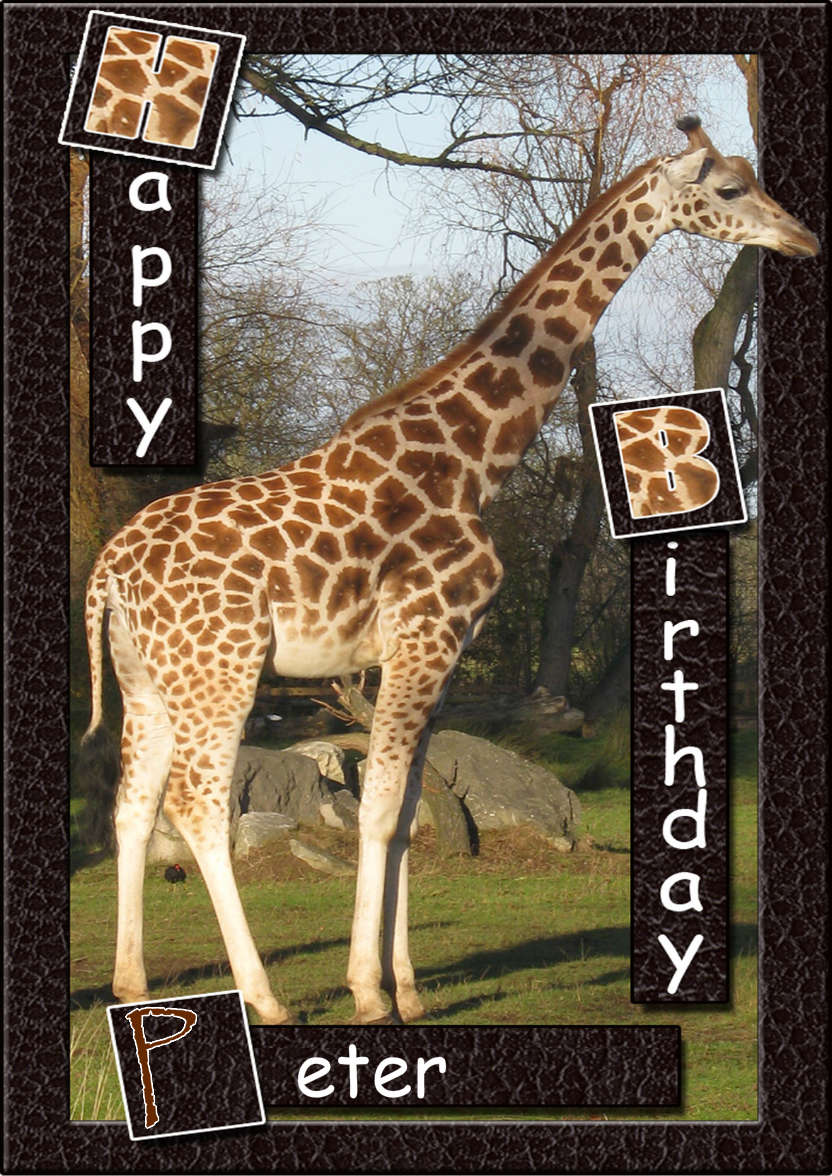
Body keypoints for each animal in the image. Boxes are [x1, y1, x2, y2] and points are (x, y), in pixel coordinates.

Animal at [81, 117, 818, 1025]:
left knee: (132, 804)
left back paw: (132, 986)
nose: (803, 238)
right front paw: (368, 993)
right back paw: (267, 999)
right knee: (199, 805)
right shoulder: (423, 637)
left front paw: (409, 991)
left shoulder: (443, 651)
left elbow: (404, 818)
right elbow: (375, 813)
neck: (473, 460)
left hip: (148, 676)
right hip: (220, 669)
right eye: (728, 188)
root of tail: (108, 570)